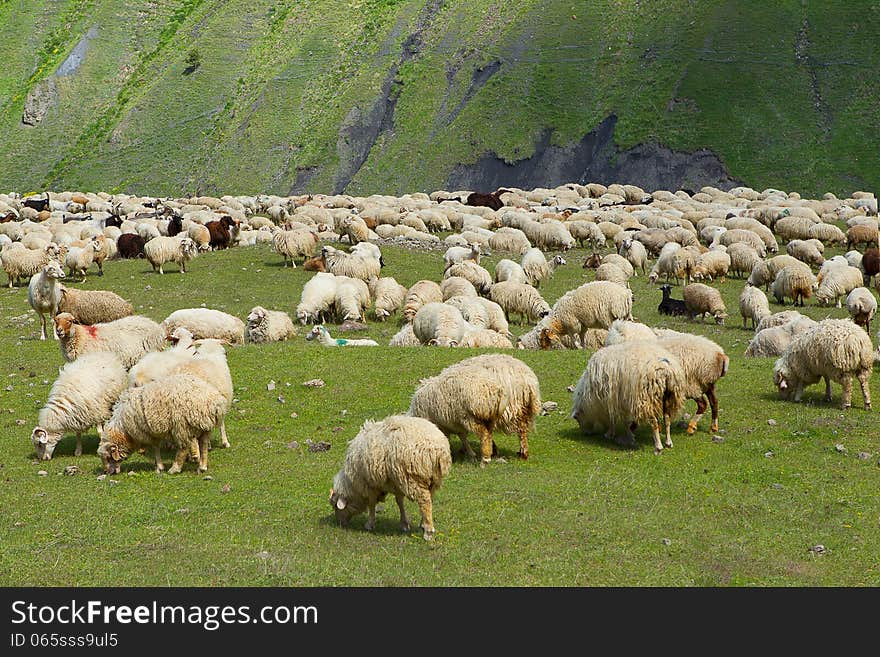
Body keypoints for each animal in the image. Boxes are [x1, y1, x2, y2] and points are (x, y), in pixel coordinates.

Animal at [98, 372, 229, 474]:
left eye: (108, 457)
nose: (106, 472)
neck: (123, 430)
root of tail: (213, 402)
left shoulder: (146, 432)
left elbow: (155, 447)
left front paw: (159, 466)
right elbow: (156, 446)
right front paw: (159, 466)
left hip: (182, 426)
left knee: (183, 448)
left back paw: (175, 468)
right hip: (204, 426)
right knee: (204, 445)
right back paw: (202, 467)